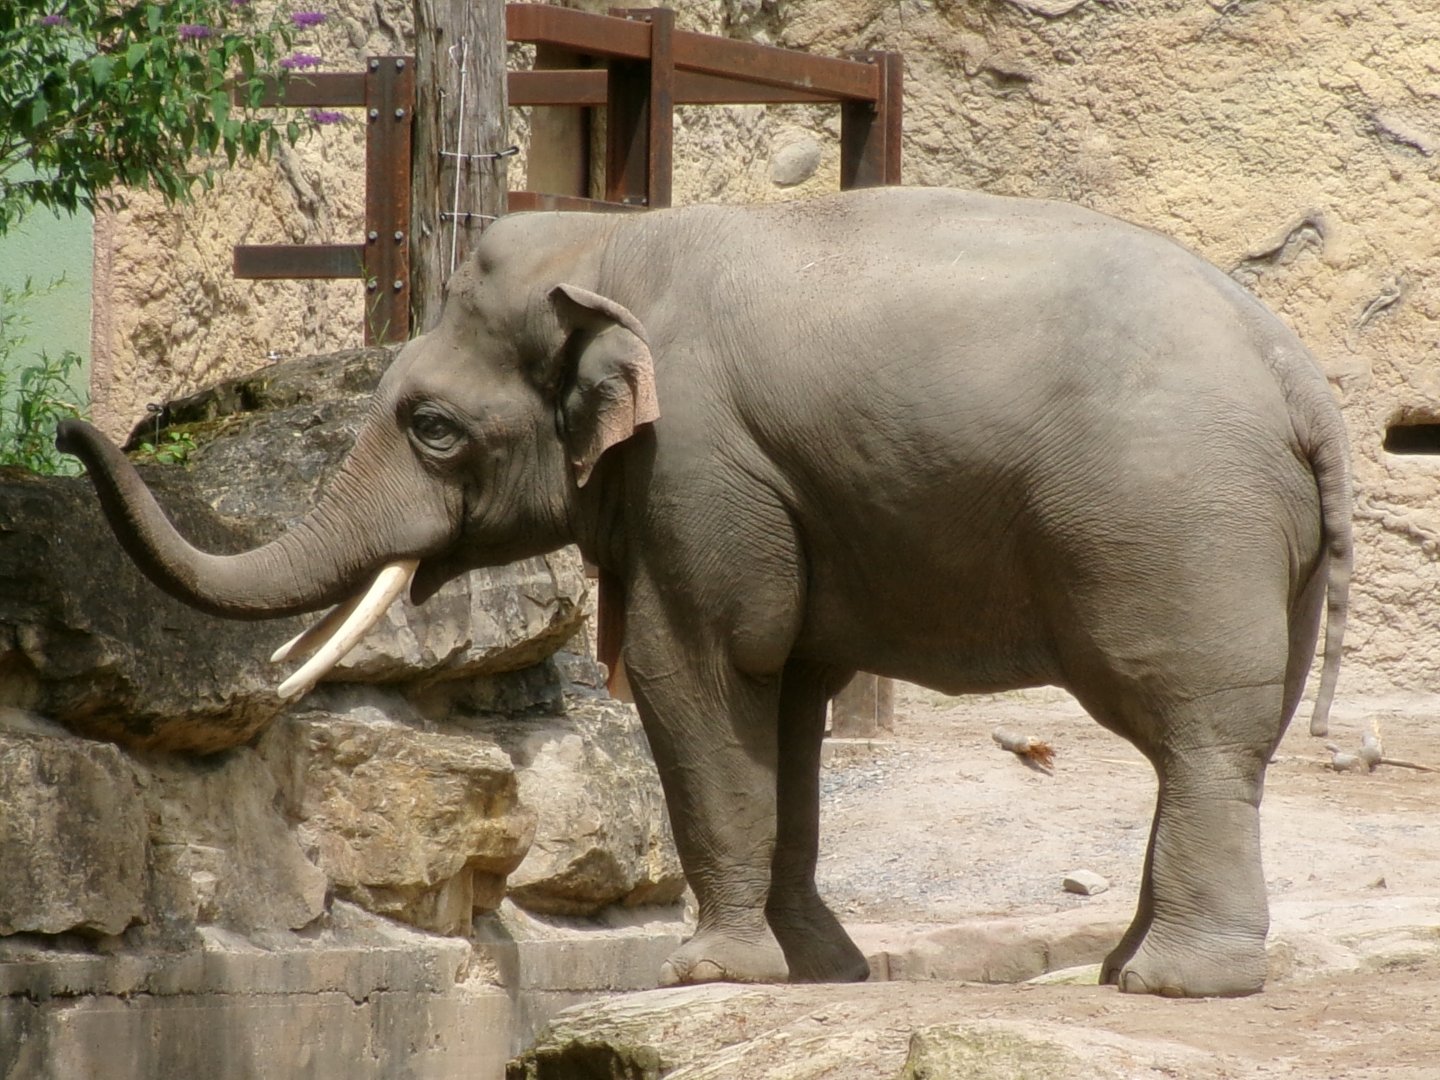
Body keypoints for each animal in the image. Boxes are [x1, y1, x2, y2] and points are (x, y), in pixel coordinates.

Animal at [58, 185, 1352, 998]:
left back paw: (1177, 984)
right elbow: (790, 698)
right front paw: (820, 970)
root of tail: (1301, 378)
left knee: (1194, 729)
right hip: (1254, 542)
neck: (610, 249)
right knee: (1231, 738)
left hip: (1174, 520)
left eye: (432, 428)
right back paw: (1129, 971)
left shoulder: (699, 463)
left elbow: (702, 668)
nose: (71, 425)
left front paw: (709, 972)